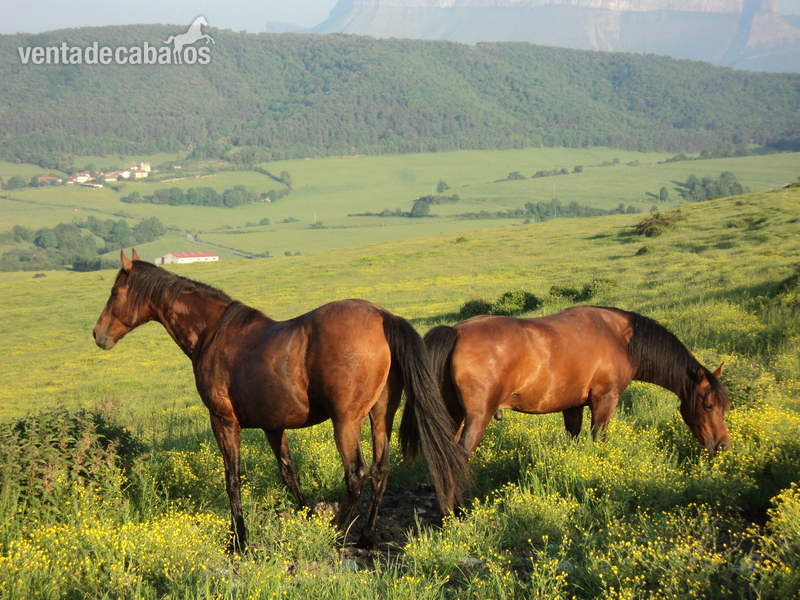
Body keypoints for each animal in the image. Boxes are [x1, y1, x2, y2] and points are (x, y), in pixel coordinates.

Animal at [93, 250, 466, 550]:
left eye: (114, 293)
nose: (98, 335)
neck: (215, 333)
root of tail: (382, 317)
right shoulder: (273, 426)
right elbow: (289, 473)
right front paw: (304, 514)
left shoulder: (223, 422)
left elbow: (232, 479)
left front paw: (240, 539)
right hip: (380, 416)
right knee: (380, 471)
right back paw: (365, 537)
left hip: (346, 422)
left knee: (356, 474)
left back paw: (336, 531)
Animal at [423, 305, 730, 457]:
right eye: (709, 406)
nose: (723, 446)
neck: (620, 337)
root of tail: (457, 331)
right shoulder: (605, 400)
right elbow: (598, 438)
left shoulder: (572, 406)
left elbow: (573, 437)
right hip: (477, 418)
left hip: (452, 415)